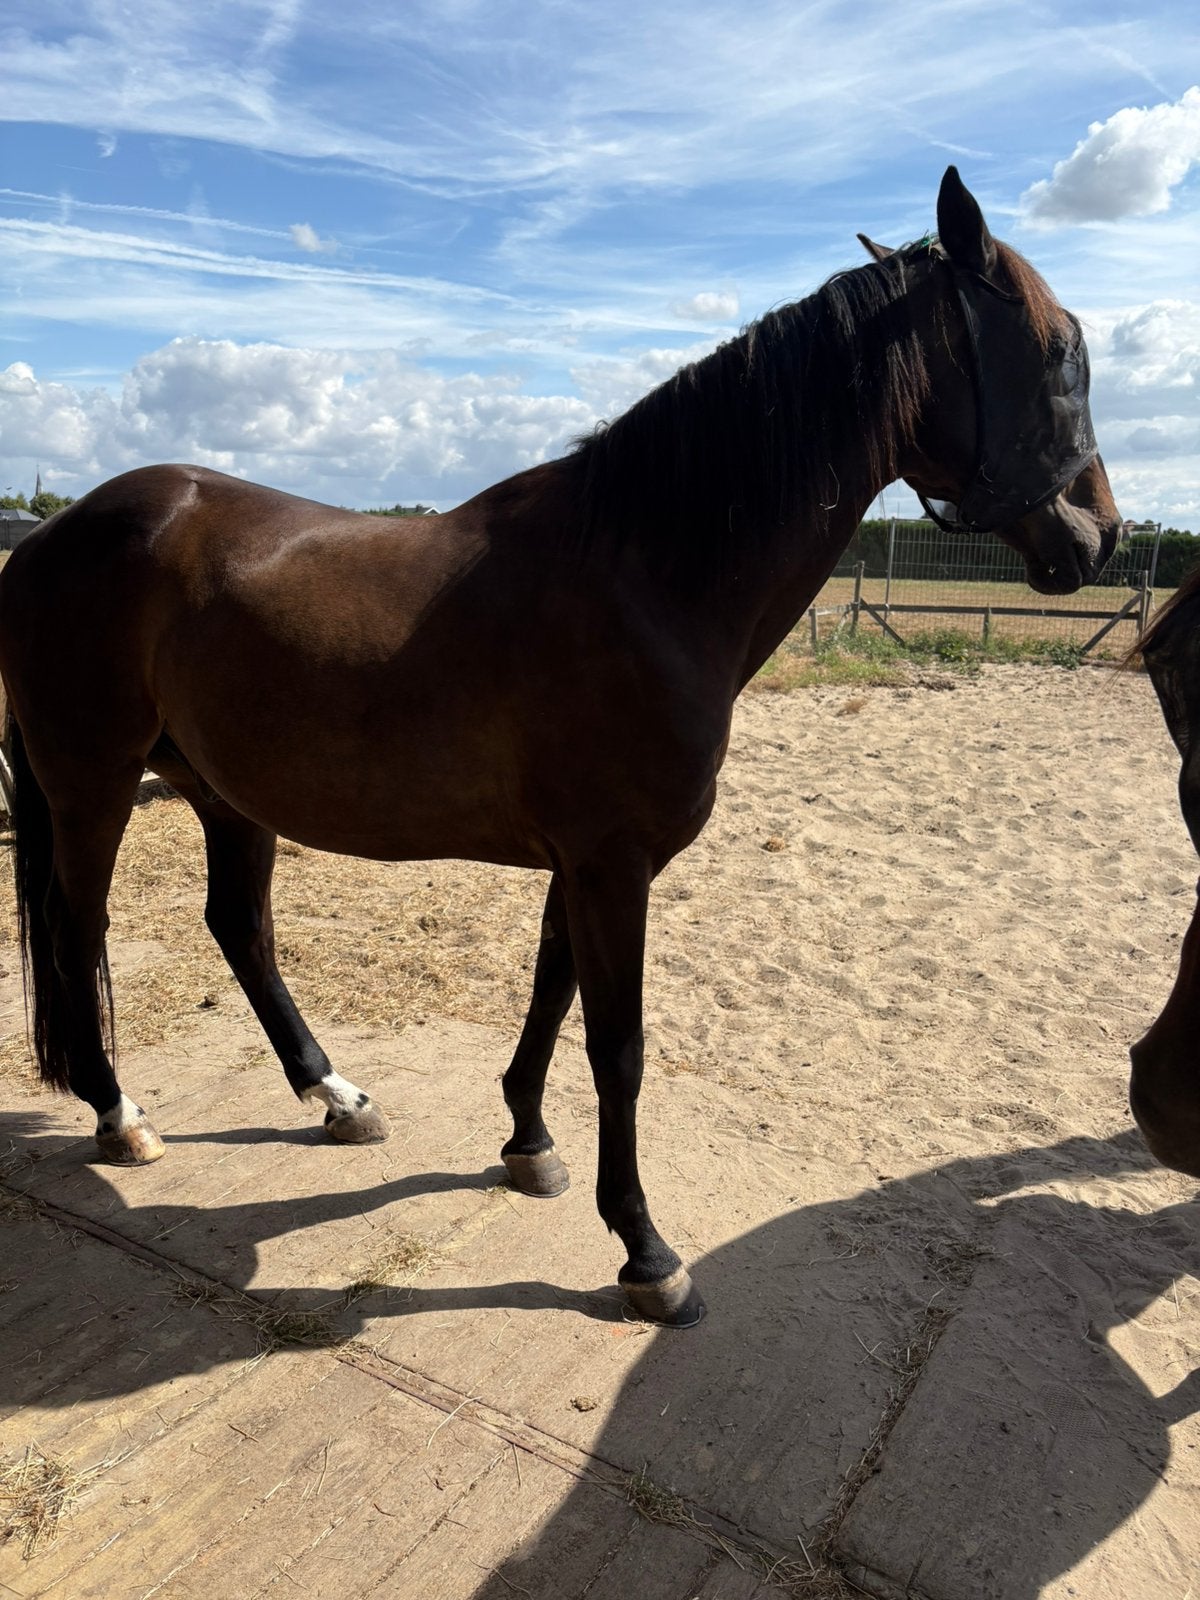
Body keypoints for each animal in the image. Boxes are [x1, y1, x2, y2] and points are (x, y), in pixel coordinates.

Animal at [0, 168, 1121, 1327]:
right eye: (1059, 352)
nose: (1102, 537)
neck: (644, 574)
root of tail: (49, 537)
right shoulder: (610, 864)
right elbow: (616, 1045)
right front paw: (645, 1251)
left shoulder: (582, 864)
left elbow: (551, 990)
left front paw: (527, 1143)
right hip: (91, 783)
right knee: (79, 928)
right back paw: (121, 1115)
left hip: (224, 794)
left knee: (241, 932)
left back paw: (337, 1096)